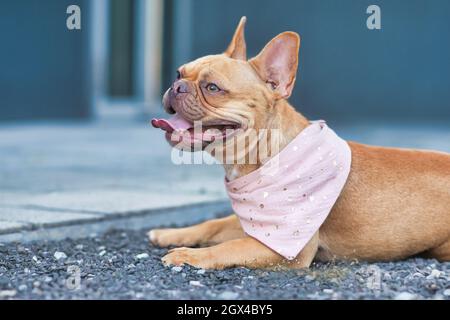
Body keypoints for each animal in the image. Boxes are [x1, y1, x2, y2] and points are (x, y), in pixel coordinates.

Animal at [149, 17, 450, 270]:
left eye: (212, 88)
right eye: (178, 73)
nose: (177, 87)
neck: (266, 156)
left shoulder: (281, 244)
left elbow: (227, 247)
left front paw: (189, 255)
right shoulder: (255, 225)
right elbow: (213, 223)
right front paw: (171, 233)